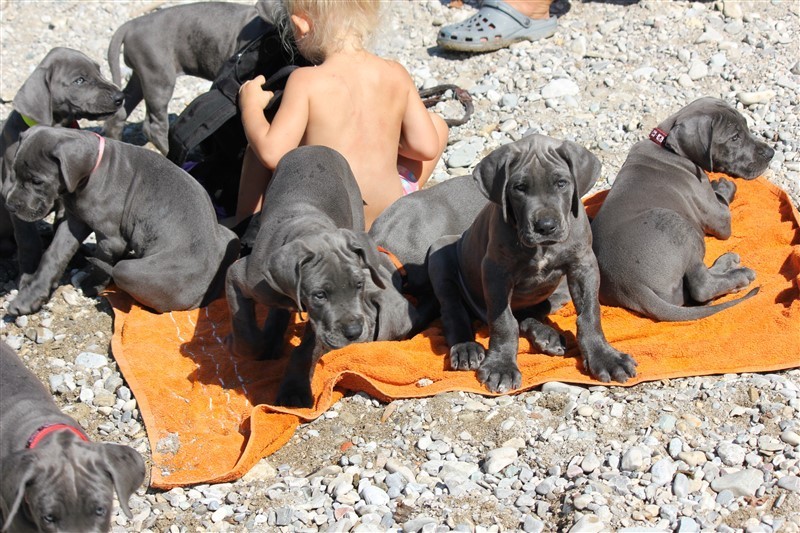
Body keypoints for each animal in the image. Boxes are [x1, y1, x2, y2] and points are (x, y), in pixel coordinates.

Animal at [0, 47, 124, 277]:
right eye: (79, 80)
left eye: (99, 70)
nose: (120, 97)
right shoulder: (13, 193)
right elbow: (29, 241)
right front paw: (29, 273)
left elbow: (61, 234)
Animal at [4, 126, 240, 315]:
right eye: (13, 171)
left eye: (37, 181)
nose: (9, 205)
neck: (91, 172)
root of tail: (201, 300)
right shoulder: (74, 221)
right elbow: (52, 256)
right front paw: (29, 299)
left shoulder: (111, 240)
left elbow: (101, 266)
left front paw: (91, 287)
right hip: (230, 236)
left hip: (130, 270)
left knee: (121, 274)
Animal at [226, 145, 416, 408]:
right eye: (320, 295)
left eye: (359, 285)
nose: (354, 332)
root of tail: (315, 147)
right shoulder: (237, 277)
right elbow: (245, 330)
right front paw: (243, 345)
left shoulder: (320, 324)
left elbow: (305, 351)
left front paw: (294, 392)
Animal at [428, 135, 637, 393]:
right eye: (519, 188)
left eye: (561, 183)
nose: (545, 226)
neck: (542, 247)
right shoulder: (496, 272)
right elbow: (503, 322)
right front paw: (501, 366)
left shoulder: (583, 264)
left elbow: (589, 313)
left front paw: (605, 356)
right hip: (439, 254)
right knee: (453, 310)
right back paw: (467, 347)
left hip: (558, 294)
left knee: (527, 314)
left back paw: (546, 336)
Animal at [590, 97, 774, 321]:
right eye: (734, 137)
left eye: (746, 129)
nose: (771, 153)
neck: (666, 147)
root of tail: (630, 286)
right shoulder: (720, 219)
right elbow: (722, 203)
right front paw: (724, 186)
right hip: (679, 225)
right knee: (701, 287)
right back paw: (738, 275)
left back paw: (727, 264)